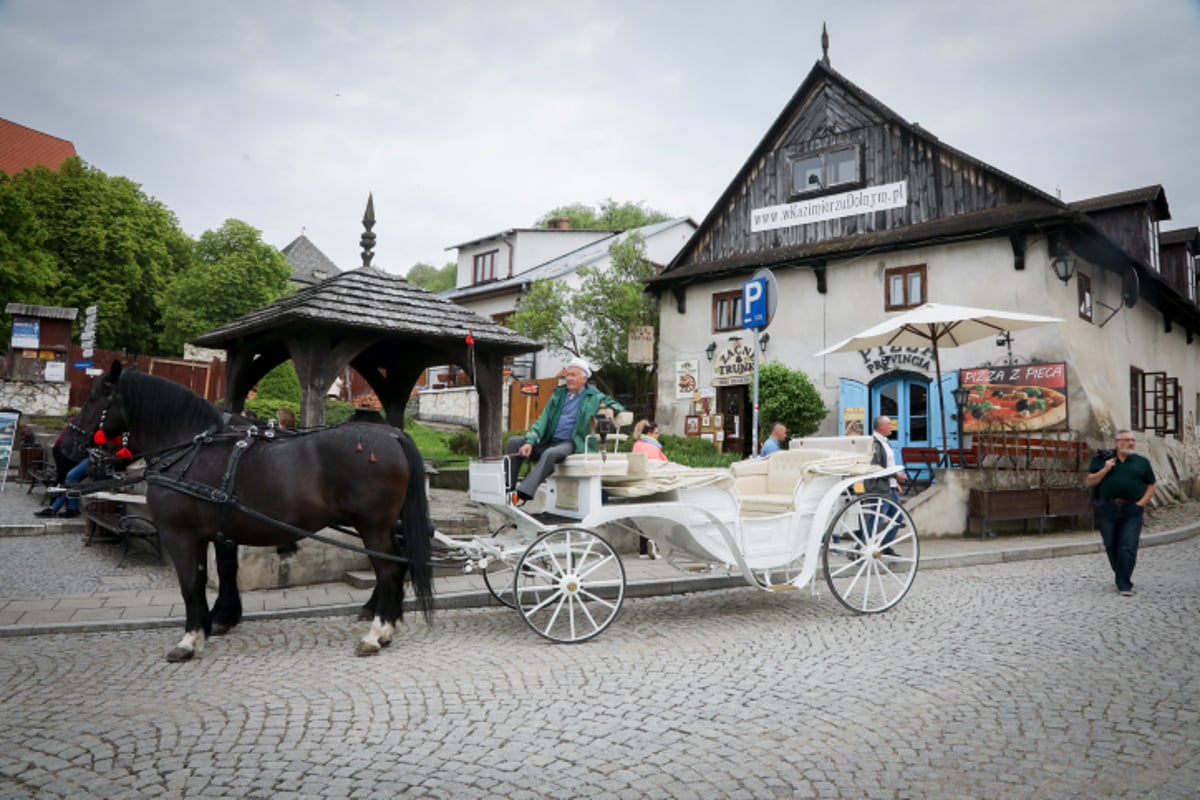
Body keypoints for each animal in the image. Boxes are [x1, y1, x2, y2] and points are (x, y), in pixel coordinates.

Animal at [64, 364, 432, 662]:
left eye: (94, 399)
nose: (68, 445)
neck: (189, 450)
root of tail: (392, 434)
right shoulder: (218, 531)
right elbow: (220, 572)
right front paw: (217, 620)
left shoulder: (180, 534)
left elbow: (191, 583)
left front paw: (190, 640)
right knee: (398, 565)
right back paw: (386, 627)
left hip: (373, 526)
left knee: (388, 570)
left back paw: (376, 633)